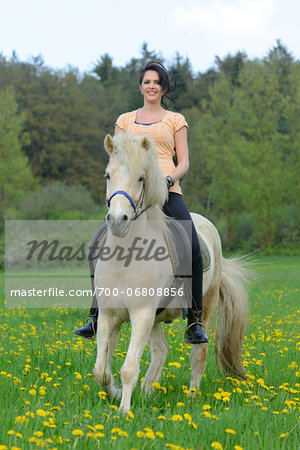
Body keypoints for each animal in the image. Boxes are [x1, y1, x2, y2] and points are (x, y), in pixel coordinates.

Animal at [93, 132, 251, 414]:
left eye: (141, 178)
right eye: (108, 175)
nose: (118, 221)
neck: (126, 259)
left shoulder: (142, 315)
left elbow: (128, 368)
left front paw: (123, 411)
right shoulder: (109, 316)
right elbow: (101, 368)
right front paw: (115, 393)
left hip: (205, 307)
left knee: (199, 352)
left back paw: (191, 397)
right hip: (156, 318)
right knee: (161, 350)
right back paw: (148, 391)